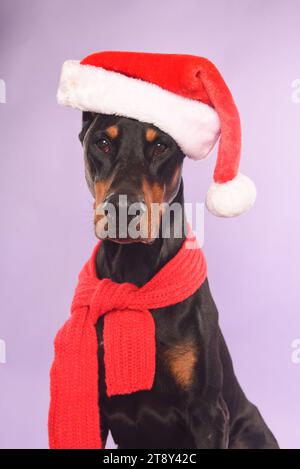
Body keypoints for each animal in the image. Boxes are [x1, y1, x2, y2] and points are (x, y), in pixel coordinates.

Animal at [78, 110, 278, 450]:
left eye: (161, 147)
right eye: (102, 143)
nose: (122, 209)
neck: (135, 274)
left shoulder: (208, 412)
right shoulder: (93, 408)